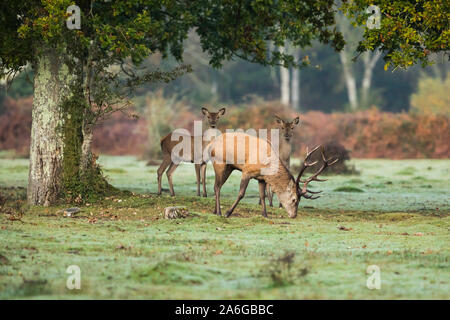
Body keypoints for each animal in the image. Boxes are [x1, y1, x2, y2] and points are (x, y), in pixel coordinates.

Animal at [206, 132, 336, 218]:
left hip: (229, 167)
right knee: (217, 187)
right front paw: (228, 213)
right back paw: (219, 212)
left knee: (217, 186)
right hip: (219, 163)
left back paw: (214, 211)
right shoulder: (246, 171)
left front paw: (265, 214)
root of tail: (210, 144)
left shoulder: (261, 178)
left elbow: (262, 195)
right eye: (294, 200)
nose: (294, 215)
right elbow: (241, 193)